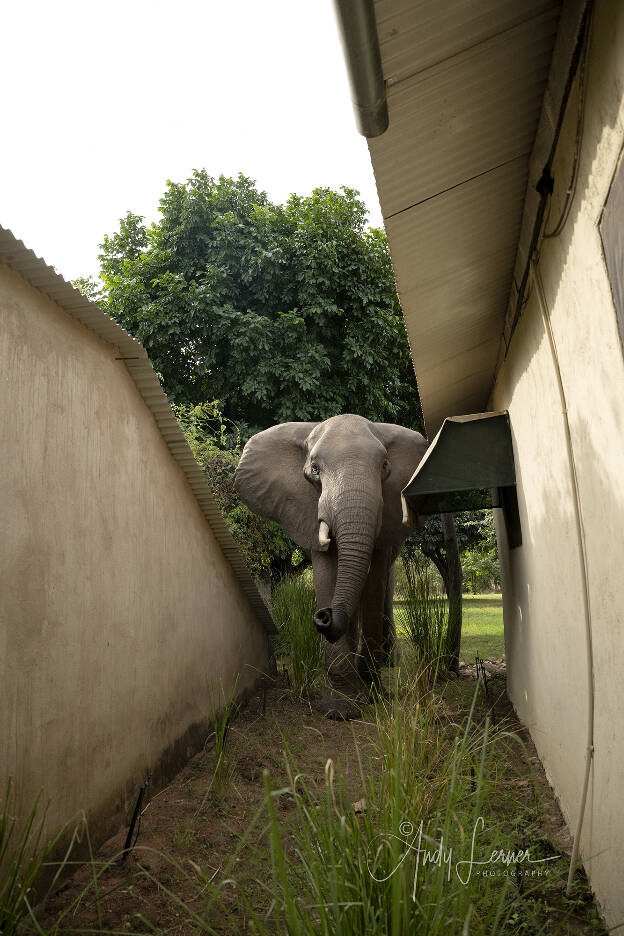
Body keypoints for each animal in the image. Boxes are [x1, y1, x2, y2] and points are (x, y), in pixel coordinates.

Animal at [234, 413, 427, 719]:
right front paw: (340, 709)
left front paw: (372, 694)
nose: (323, 616)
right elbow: (326, 575)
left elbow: (374, 581)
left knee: (385, 582)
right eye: (314, 470)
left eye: (385, 467)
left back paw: (385, 665)